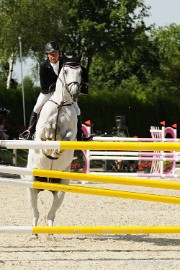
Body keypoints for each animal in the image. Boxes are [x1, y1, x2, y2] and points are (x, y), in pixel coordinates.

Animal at [23, 55, 81, 230]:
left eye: (80, 72)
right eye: (66, 71)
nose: (75, 94)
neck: (61, 103)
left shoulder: (72, 132)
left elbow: (68, 136)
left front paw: (56, 151)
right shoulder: (41, 129)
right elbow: (45, 130)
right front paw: (50, 143)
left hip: (61, 188)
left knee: (51, 213)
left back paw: (49, 232)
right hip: (32, 185)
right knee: (35, 211)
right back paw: (35, 230)